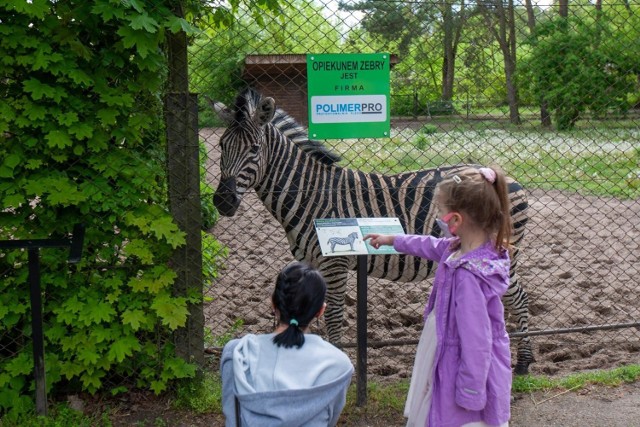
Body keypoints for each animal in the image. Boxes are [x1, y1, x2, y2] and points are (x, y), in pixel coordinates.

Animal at [210, 88, 536, 374]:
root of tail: (501, 176)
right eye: (222, 146)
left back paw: (523, 363)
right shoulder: (311, 262)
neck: (310, 193)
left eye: (254, 149)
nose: (222, 201)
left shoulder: (334, 263)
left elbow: (334, 316)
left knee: (519, 299)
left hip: (500, 250)